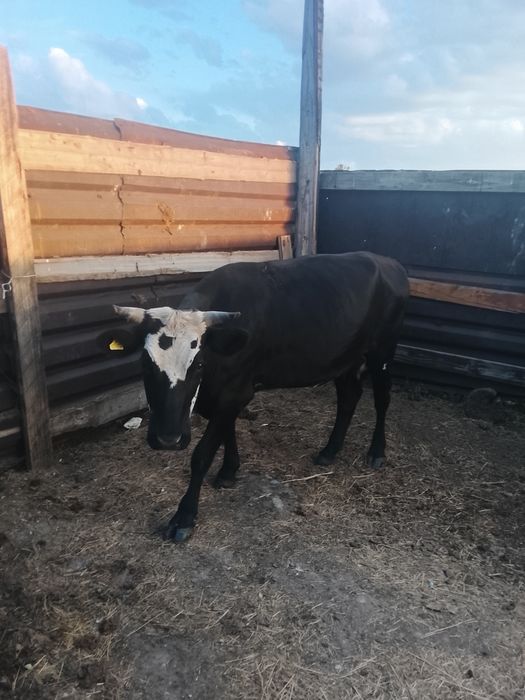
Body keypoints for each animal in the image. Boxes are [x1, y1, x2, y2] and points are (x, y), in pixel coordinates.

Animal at [102, 252, 408, 542]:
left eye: (198, 363)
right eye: (145, 363)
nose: (168, 440)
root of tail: (390, 263)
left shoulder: (234, 390)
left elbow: (202, 454)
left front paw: (184, 517)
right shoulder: (223, 395)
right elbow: (227, 431)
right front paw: (228, 471)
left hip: (382, 351)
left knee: (382, 399)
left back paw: (377, 452)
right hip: (345, 358)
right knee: (348, 398)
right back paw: (329, 451)